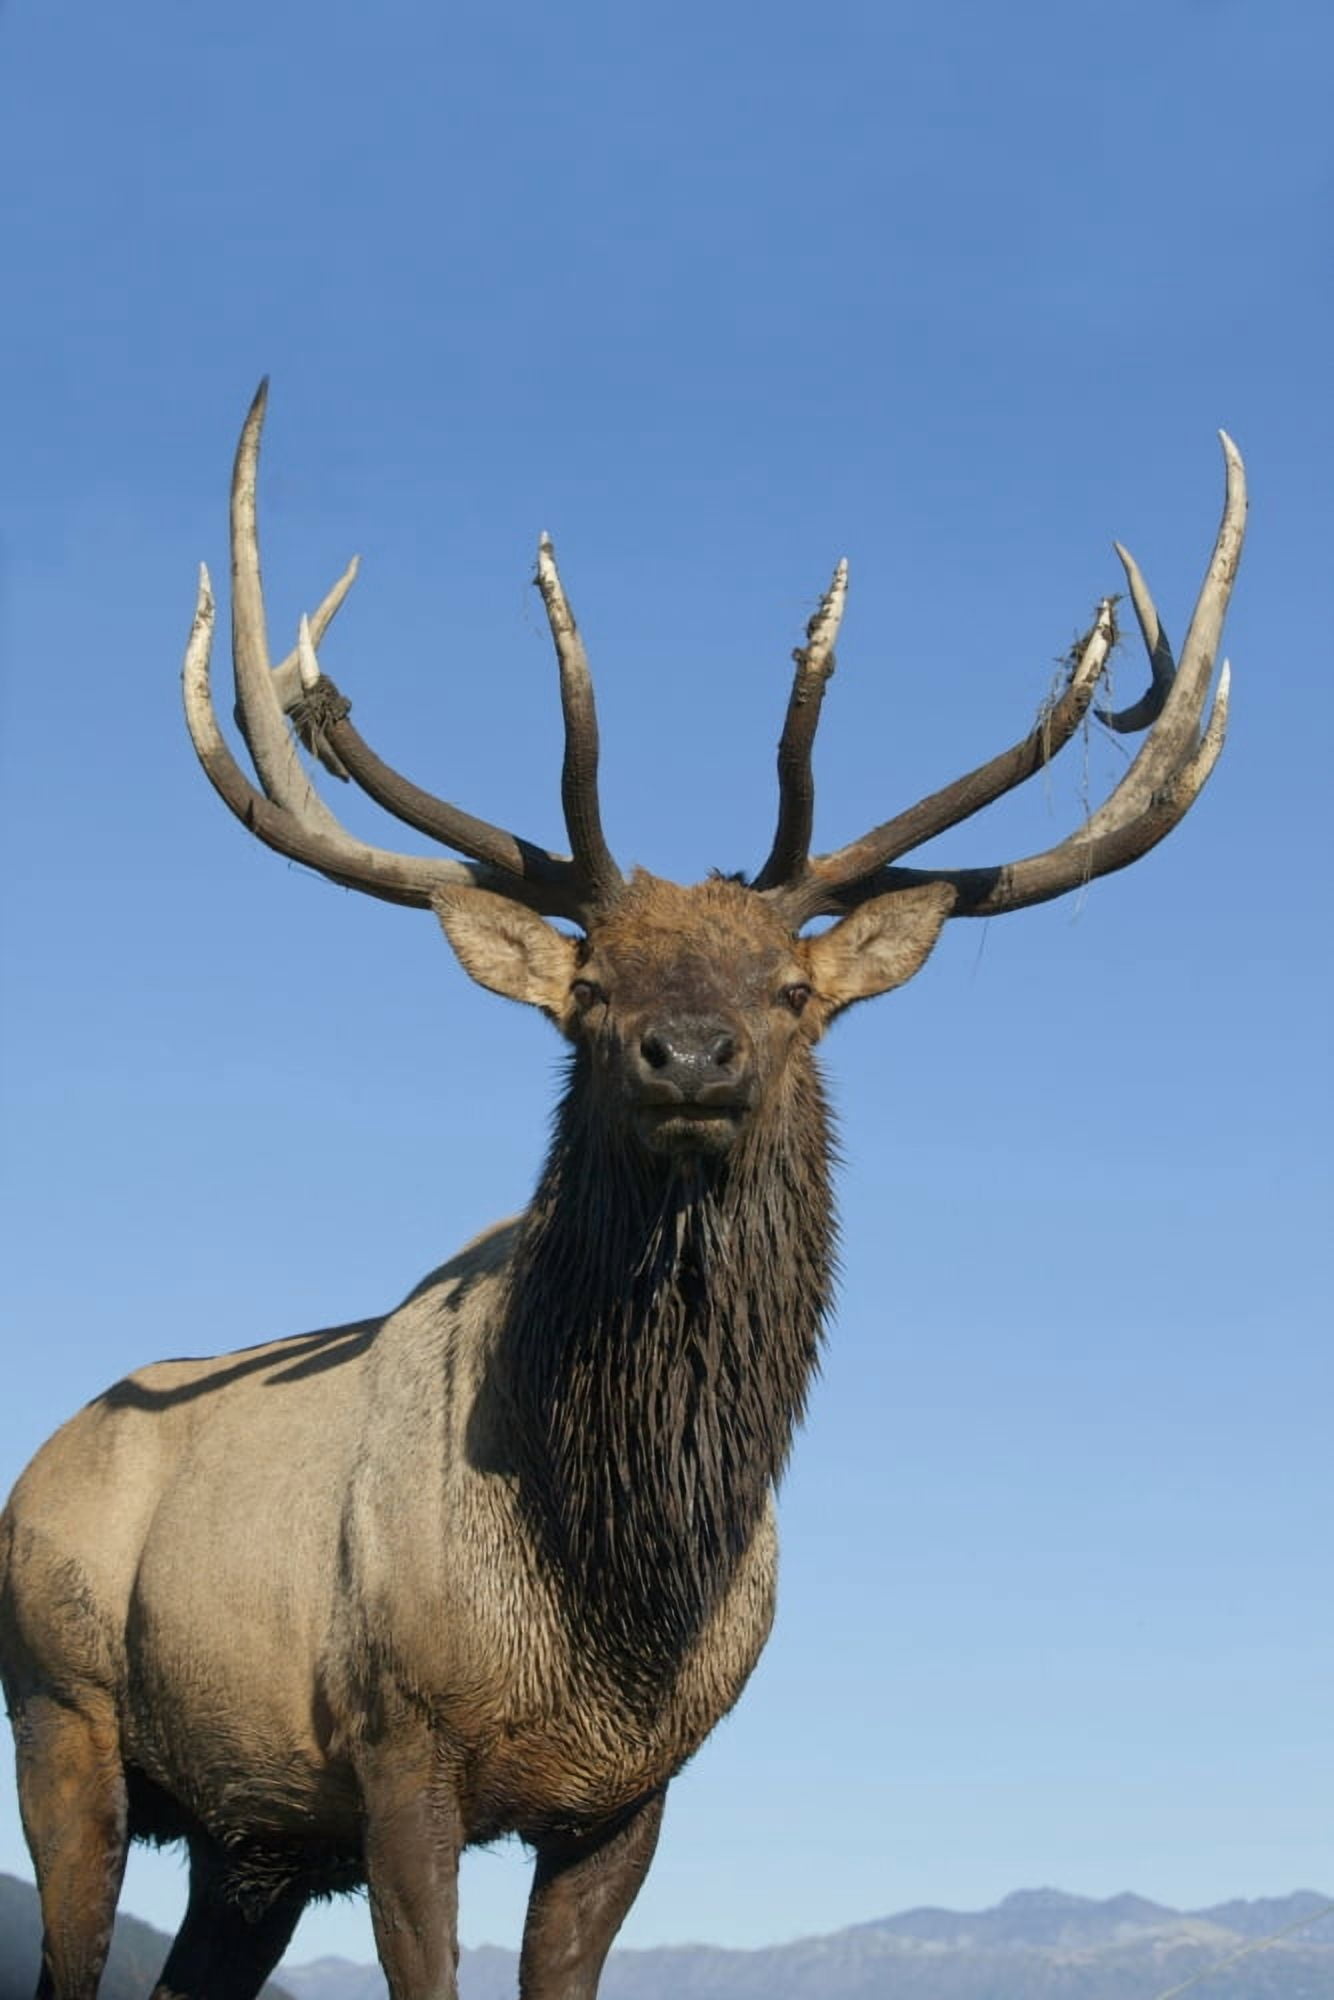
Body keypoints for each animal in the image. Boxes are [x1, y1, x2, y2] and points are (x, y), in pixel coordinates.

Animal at [0, 384, 1245, 2000]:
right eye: (590, 986)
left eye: (791, 990)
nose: (689, 1053)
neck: (616, 1590)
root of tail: (41, 1460)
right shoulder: (401, 1749)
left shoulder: (632, 1791)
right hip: (63, 1712)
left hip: (249, 1837)